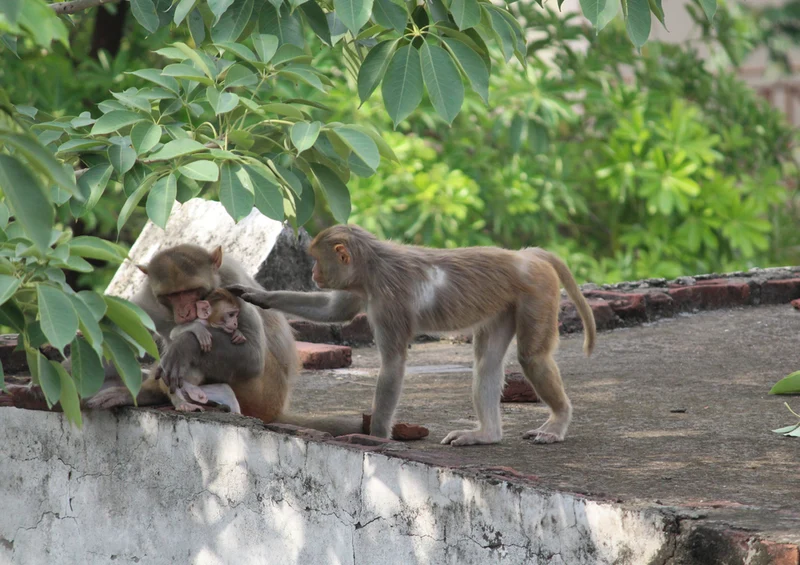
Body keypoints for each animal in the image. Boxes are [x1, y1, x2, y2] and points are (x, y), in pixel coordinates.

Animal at [227, 224, 596, 446]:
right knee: (487, 364)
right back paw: (486, 435)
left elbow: (392, 365)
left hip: (536, 292)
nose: (315, 273)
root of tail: (525, 256)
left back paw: (557, 422)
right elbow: (335, 311)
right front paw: (260, 296)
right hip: (505, 305)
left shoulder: (387, 300)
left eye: (318, 259)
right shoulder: (362, 286)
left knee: (532, 358)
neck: (373, 265)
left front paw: (376, 437)